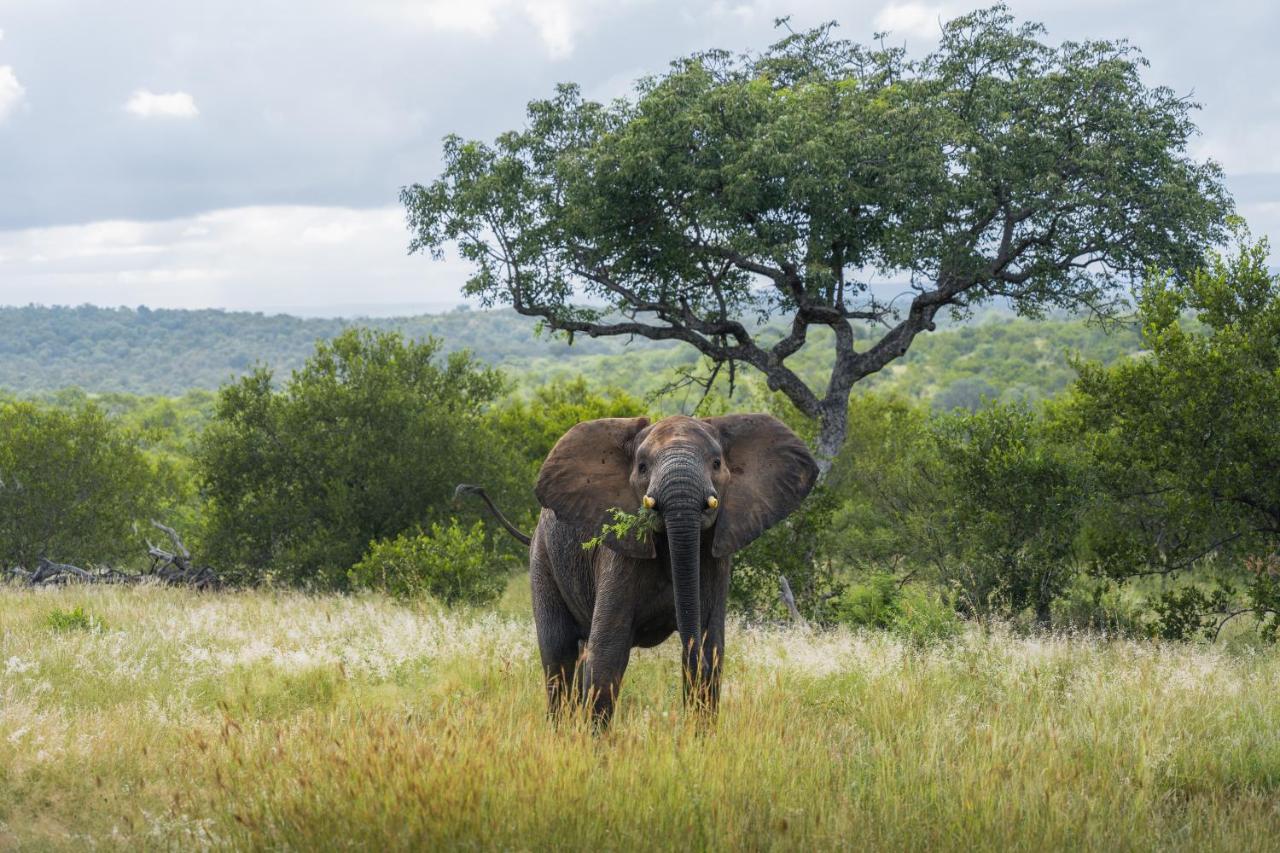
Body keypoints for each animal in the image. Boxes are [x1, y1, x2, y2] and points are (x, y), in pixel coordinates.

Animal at [473, 414, 819, 722]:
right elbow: (607, 656)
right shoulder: (619, 557)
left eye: (717, 463)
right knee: (559, 655)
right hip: (543, 557)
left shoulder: (714, 560)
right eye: (642, 467)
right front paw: (594, 749)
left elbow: (712, 651)